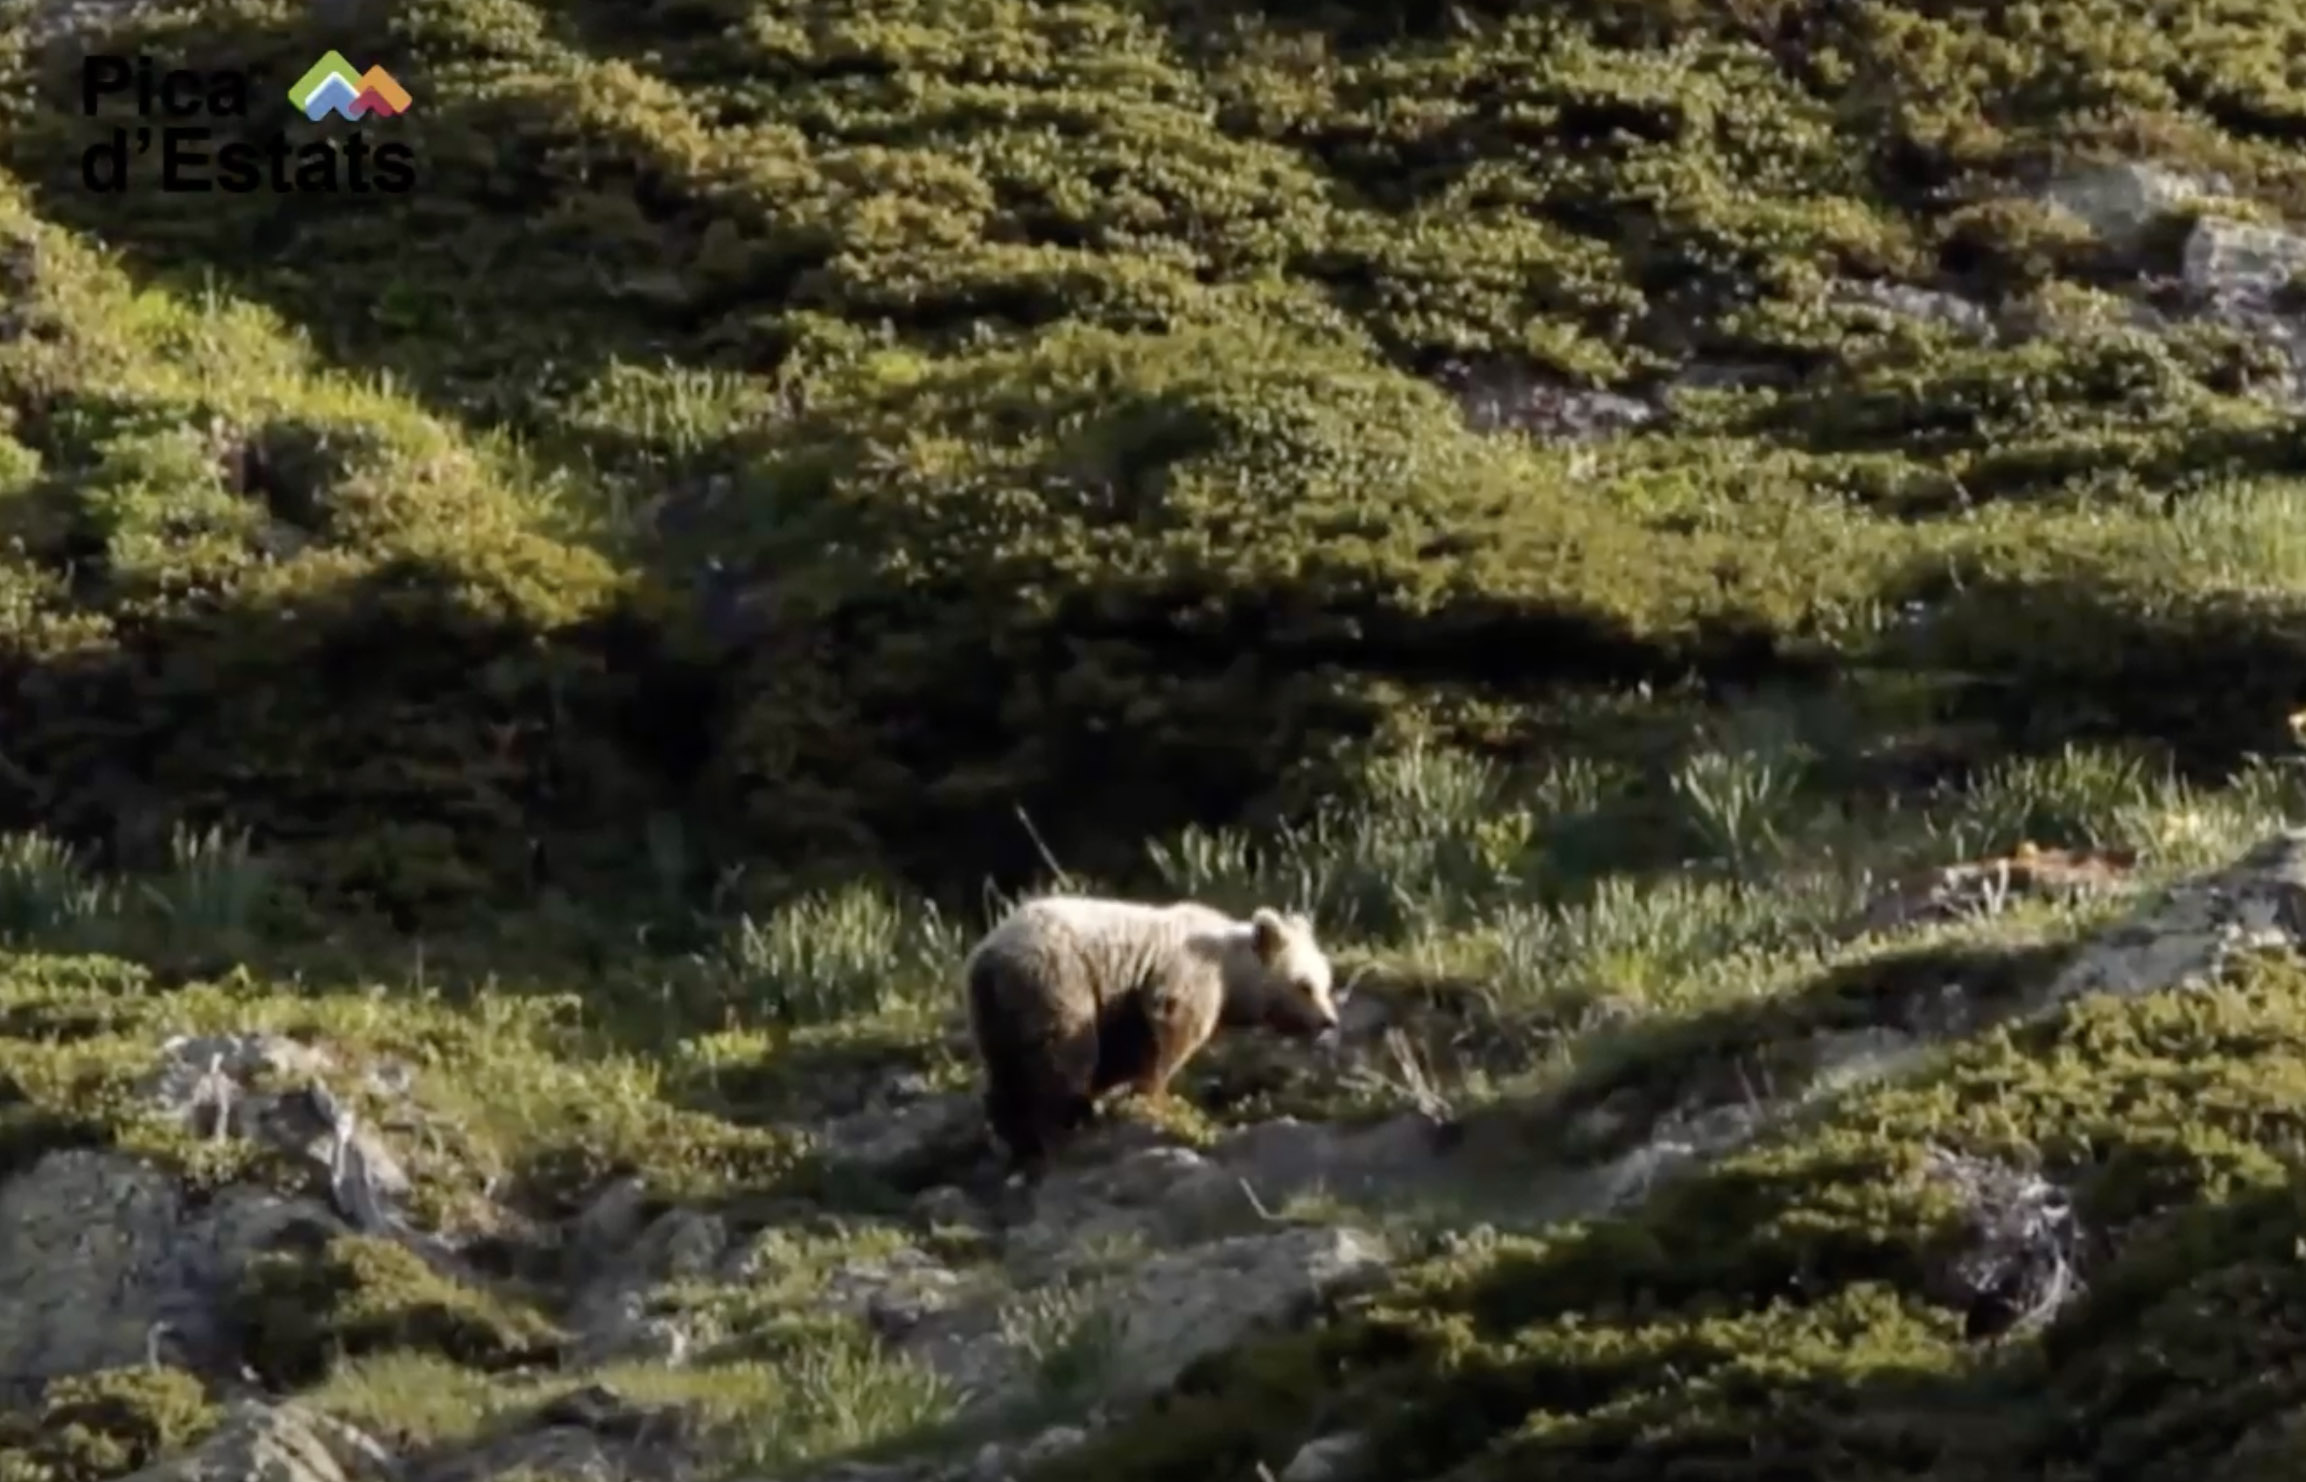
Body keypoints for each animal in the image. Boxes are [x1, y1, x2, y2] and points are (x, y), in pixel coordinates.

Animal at [963, 898, 1346, 1175]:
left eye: (1326, 982)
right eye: (1305, 985)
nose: (1328, 1020)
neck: (1231, 976)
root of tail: (987, 958)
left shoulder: (1124, 1003)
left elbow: (1128, 1049)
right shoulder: (1184, 976)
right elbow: (1170, 1031)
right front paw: (1153, 1095)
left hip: (997, 1013)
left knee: (1005, 1072)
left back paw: (1015, 1137)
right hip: (1056, 982)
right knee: (1065, 1055)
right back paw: (1066, 1122)